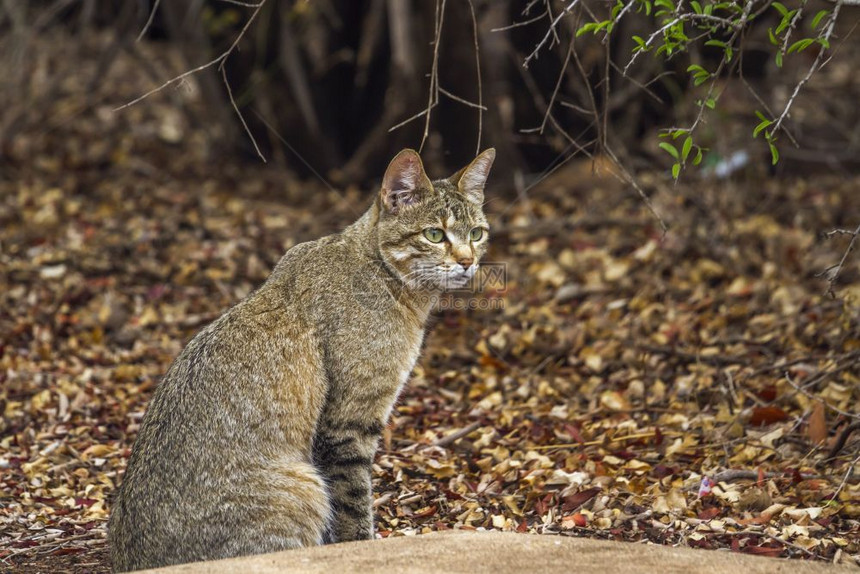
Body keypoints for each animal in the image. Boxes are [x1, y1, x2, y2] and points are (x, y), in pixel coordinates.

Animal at [108, 147, 498, 572]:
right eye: (434, 234)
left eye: (476, 234)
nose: (467, 261)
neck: (390, 279)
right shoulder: (348, 422)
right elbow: (353, 506)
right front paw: (363, 548)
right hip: (302, 485)